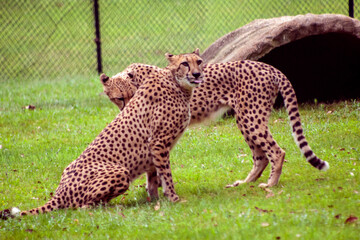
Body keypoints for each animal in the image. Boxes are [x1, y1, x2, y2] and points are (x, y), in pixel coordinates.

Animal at [0, 48, 204, 219]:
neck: (177, 83)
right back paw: (111, 208)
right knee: (81, 206)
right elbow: (166, 175)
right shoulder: (158, 143)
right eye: (185, 63)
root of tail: (59, 192)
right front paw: (174, 199)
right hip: (120, 171)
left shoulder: (154, 148)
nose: (197, 74)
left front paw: (155, 202)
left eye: (199, 62)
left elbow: (154, 176)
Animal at [100, 60, 330, 189]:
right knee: (261, 156)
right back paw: (245, 183)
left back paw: (271, 184)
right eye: (118, 98)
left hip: (250, 117)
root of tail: (269, 67)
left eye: (130, 95)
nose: (126, 108)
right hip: (245, 119)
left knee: (276, 151)